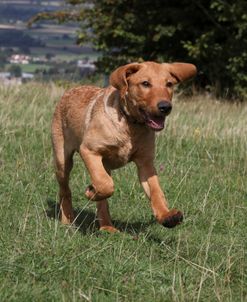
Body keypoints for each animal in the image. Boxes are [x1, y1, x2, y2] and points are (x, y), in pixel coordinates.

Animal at [52, 60, 197, 231]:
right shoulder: (89, 150)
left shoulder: (146, 163)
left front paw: (166, 215)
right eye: (145, 83)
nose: (165, 107)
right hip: (62, 161)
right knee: (65, 190)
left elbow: (156, 191)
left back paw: (107, 227)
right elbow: (105, 184)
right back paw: (67, 219)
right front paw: (90, 192)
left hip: (101, 165)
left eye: (169, 84)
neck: (130, 124)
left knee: (102, 198)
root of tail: (70, 91)